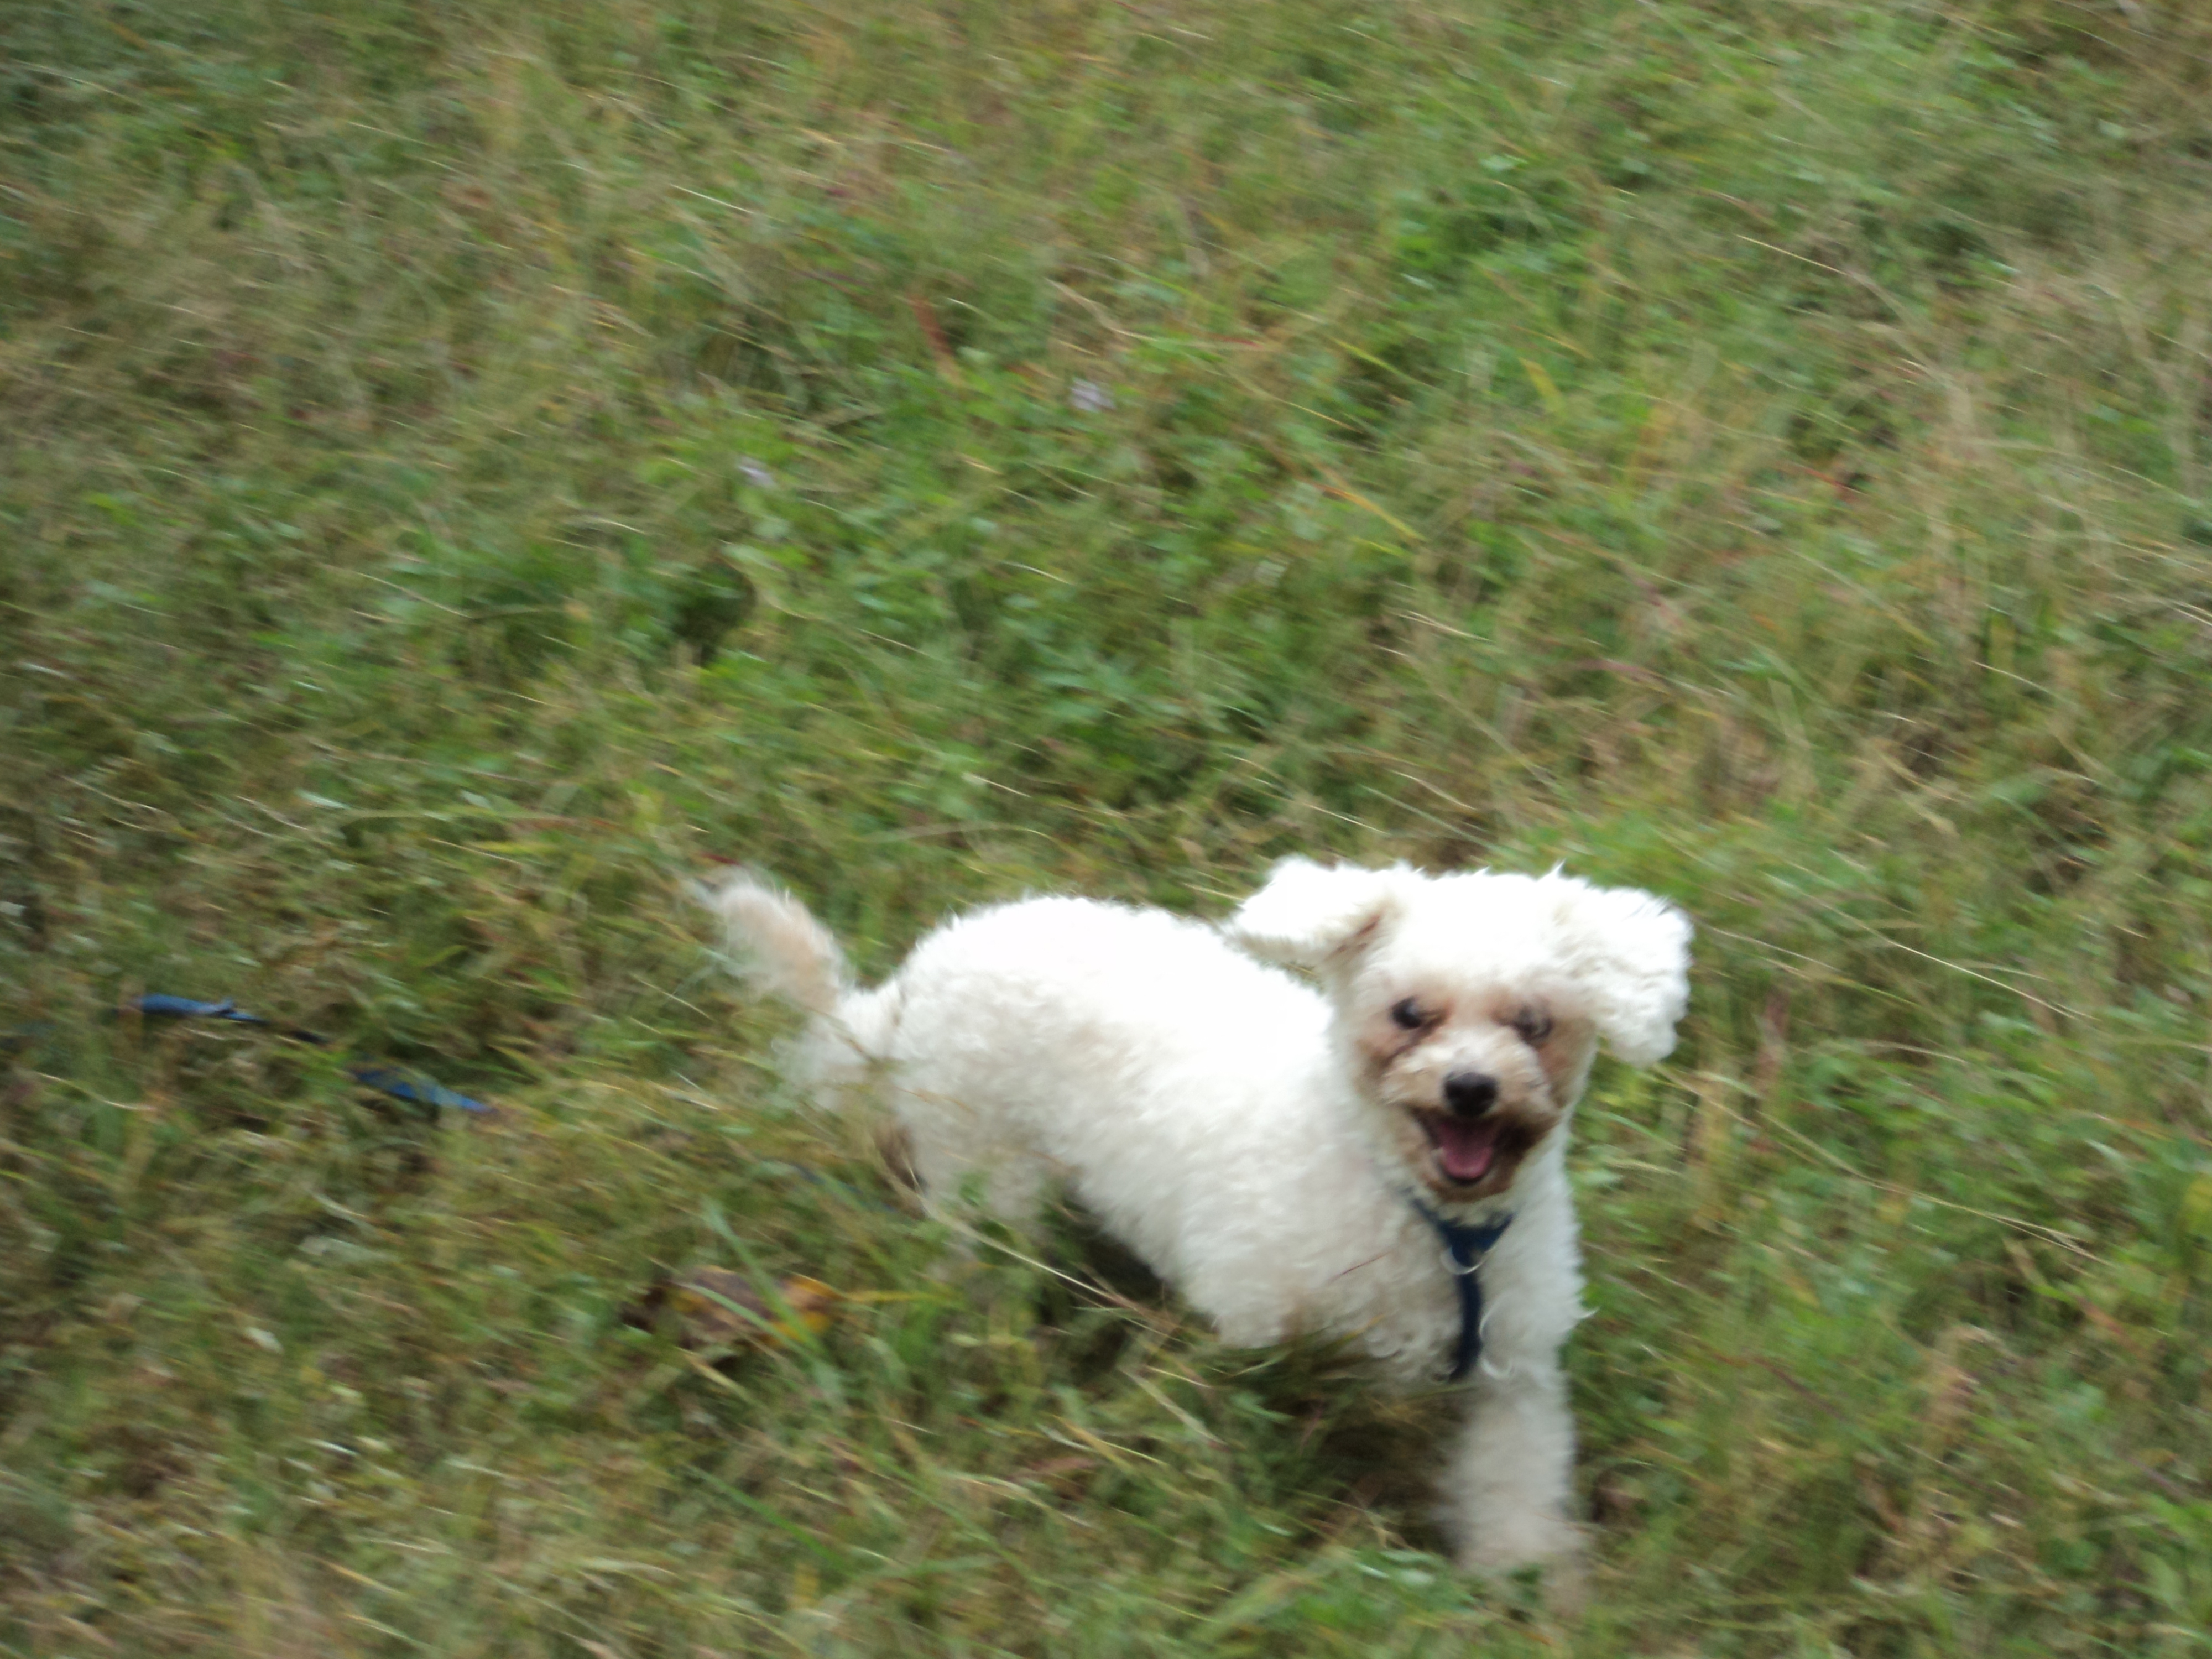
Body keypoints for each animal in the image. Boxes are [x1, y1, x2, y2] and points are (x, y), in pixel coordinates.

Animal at [707, 858, 1691, 1603]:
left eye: (1535, 1024)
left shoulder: (1511, 1375)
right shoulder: (1253, 1338)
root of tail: (928, 964)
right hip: (984, 1173)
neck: (1433, 1225)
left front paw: (1528, 1588)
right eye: (1412, 1014)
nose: (1472, 1089)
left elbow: (1513, 1485)